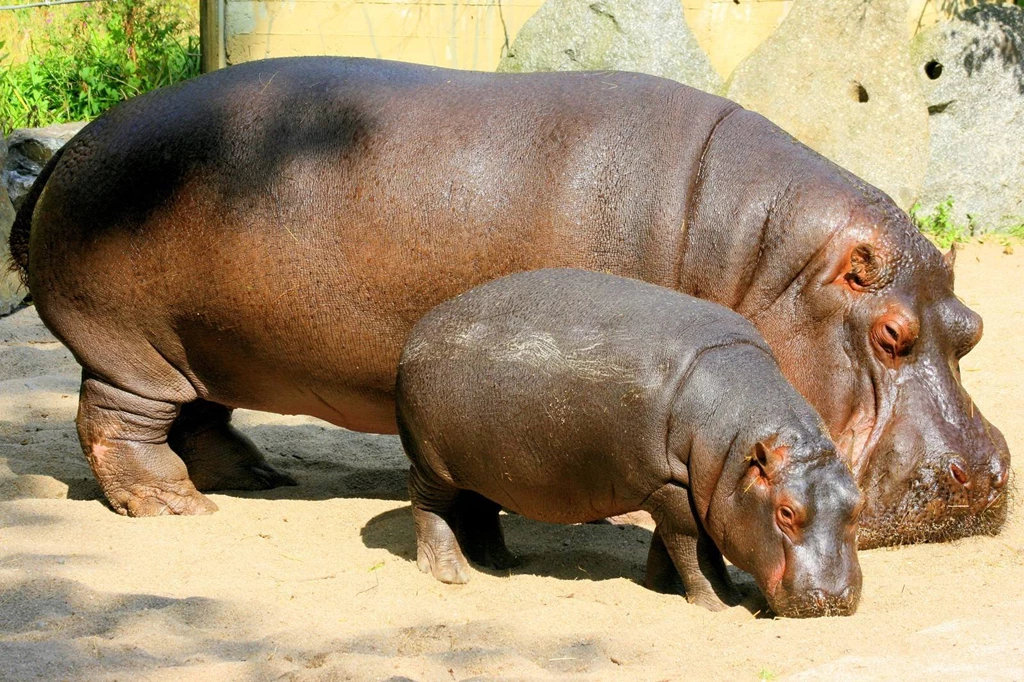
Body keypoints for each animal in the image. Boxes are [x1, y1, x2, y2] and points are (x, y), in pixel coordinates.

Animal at [7, 57, 1008, 545]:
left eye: (972, 329)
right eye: (891, 334)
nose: (991, 475)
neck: (761, 256)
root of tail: (60, 153)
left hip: (207, 340)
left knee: (201, 415)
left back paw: (255, 475)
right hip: (132, 348)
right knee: (116, 424)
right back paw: (175, 509)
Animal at [396, 269, 863, 617]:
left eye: (858, 504)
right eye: (786, 512)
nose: (835, 601)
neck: (735, 445)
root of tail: (418, 330)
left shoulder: (682, 487)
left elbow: (672, 541)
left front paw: (660, 586)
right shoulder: (671, 485)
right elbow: (697, 546)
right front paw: (721, 603)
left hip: (484, 465)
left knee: (480, 508)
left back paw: (501, 563)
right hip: (433, 462)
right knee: (428, 505)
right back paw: (450, 572)